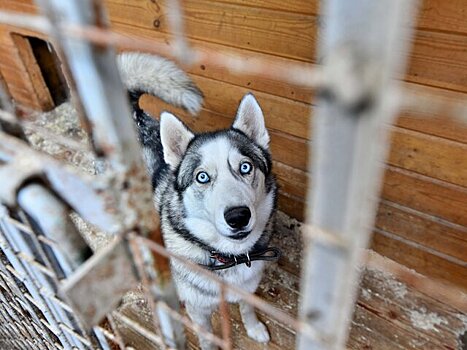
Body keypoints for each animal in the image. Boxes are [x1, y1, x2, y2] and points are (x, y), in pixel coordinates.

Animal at [118, 52, 278, 350]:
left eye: (246, 167)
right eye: (202, 177)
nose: (238, 216)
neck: (229, 257)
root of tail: (134, 117)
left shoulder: (248, 287)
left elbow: (247, 308)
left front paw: (254, 328)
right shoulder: (199, 310)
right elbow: (207, 338)